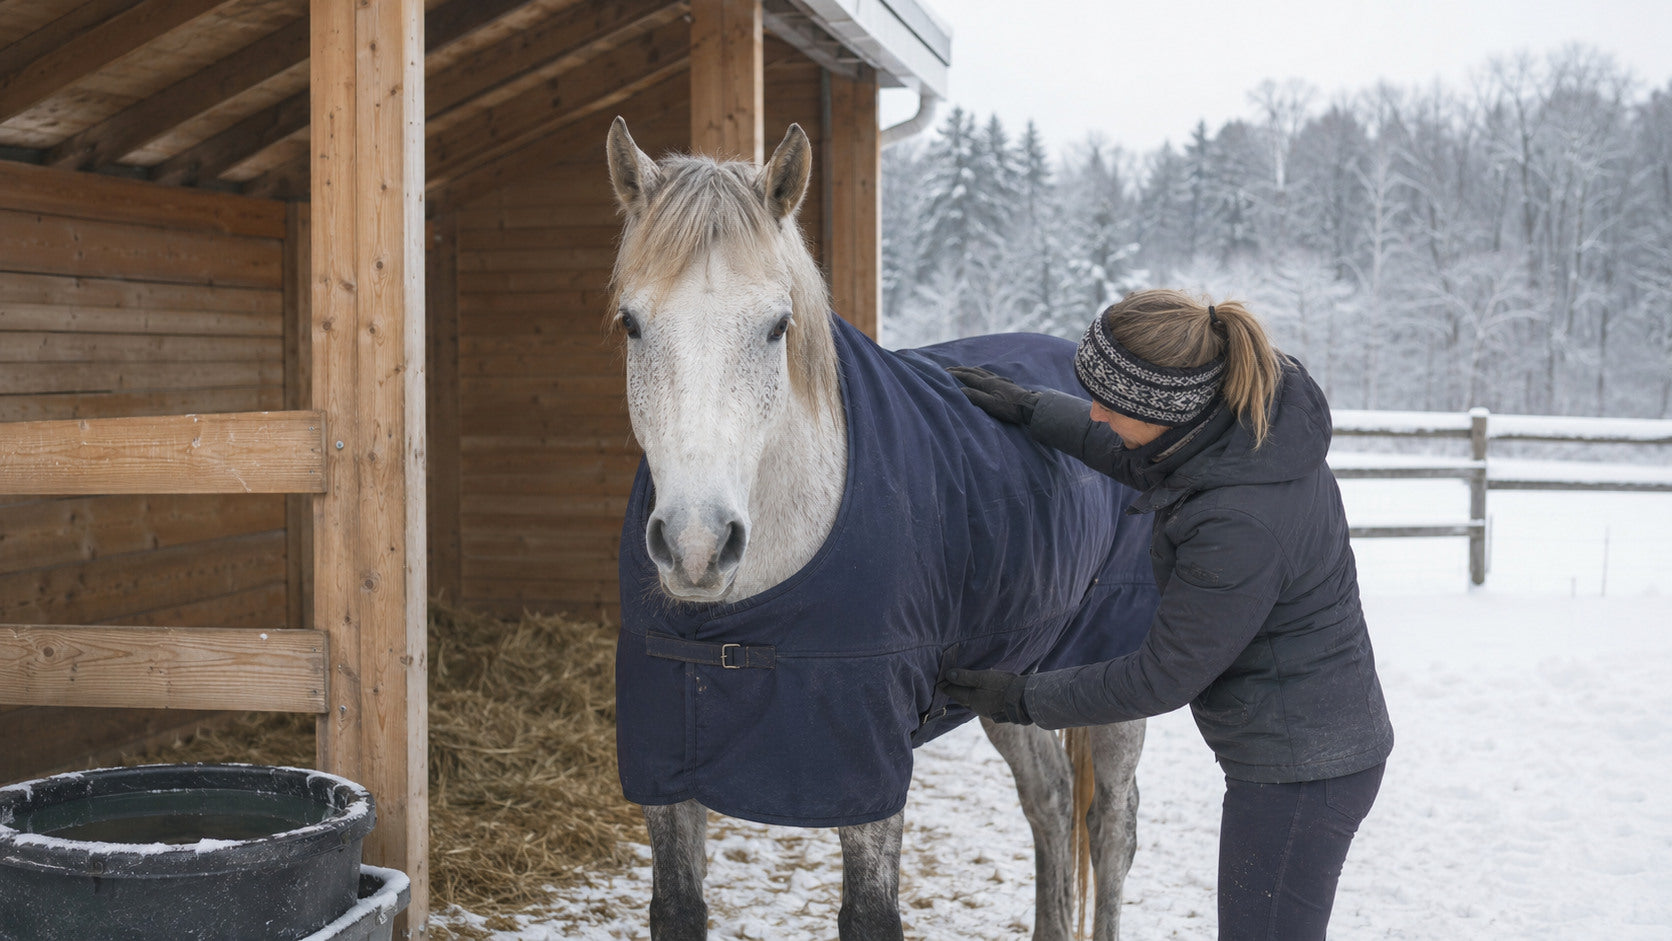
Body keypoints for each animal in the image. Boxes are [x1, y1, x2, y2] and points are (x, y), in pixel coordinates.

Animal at [605, 116, 1155, 941]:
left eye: (777, 326)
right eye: (632, 323)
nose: (697, 546)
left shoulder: (868, 773)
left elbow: (869, 914)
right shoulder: (668, 762)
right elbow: (678, 907)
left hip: (1115, 683)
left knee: (1110, 829)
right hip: (1015, 678)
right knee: (1052, 801)